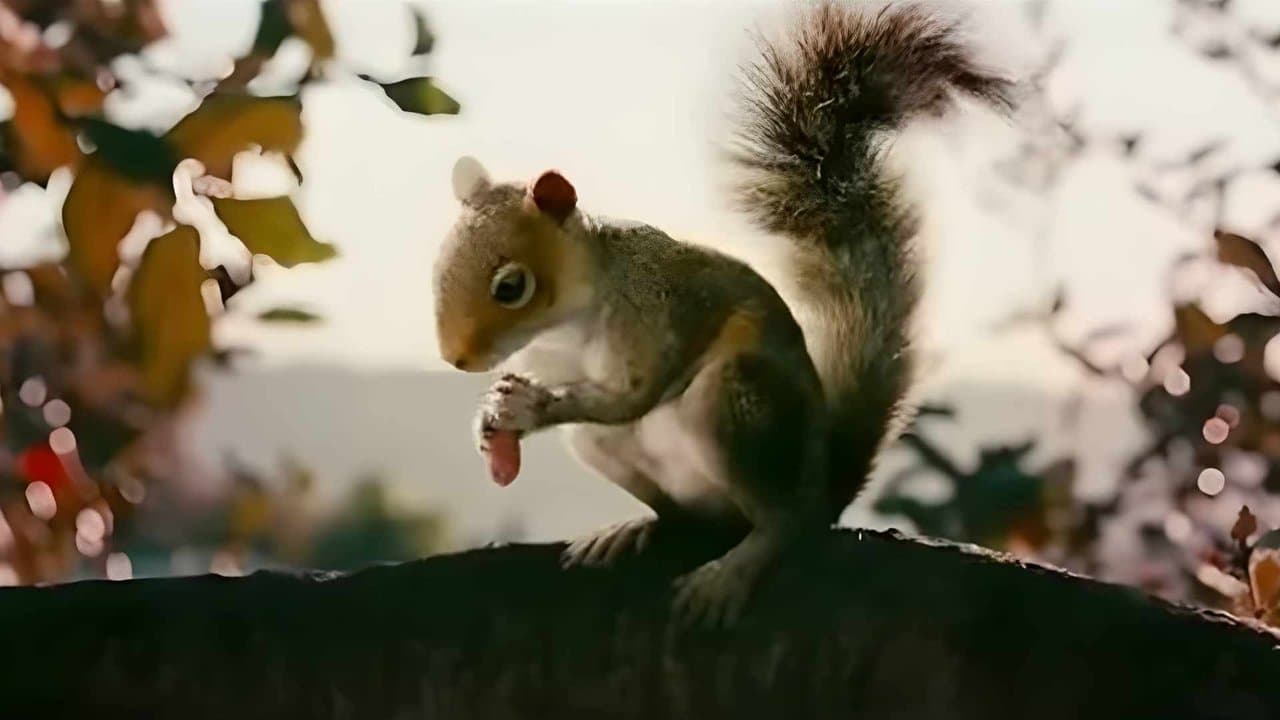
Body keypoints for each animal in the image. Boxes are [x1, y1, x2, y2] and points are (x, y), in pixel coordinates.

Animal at [432, 2, 1012, 626]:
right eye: (438, 264)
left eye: (511, 287)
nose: (457, 359)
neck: (563, 328)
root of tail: (821, 491)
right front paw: (491, 419)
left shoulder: (655, 315)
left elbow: (633, 394)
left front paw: (531, 407)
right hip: (606, 448)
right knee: (680, 516)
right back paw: (634, 528)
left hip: (738, 403)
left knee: (781, 522)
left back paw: (737, 567)